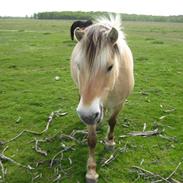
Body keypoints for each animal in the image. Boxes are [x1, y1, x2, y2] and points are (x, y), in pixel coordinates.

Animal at [71, 16, 134, 183]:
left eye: (110, 66)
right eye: (78, 65)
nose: (86, 115)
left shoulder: (119, 103)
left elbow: (112, 121)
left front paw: (110, 142)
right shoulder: (90, 109)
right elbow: (91, 140)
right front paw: (91, 171)